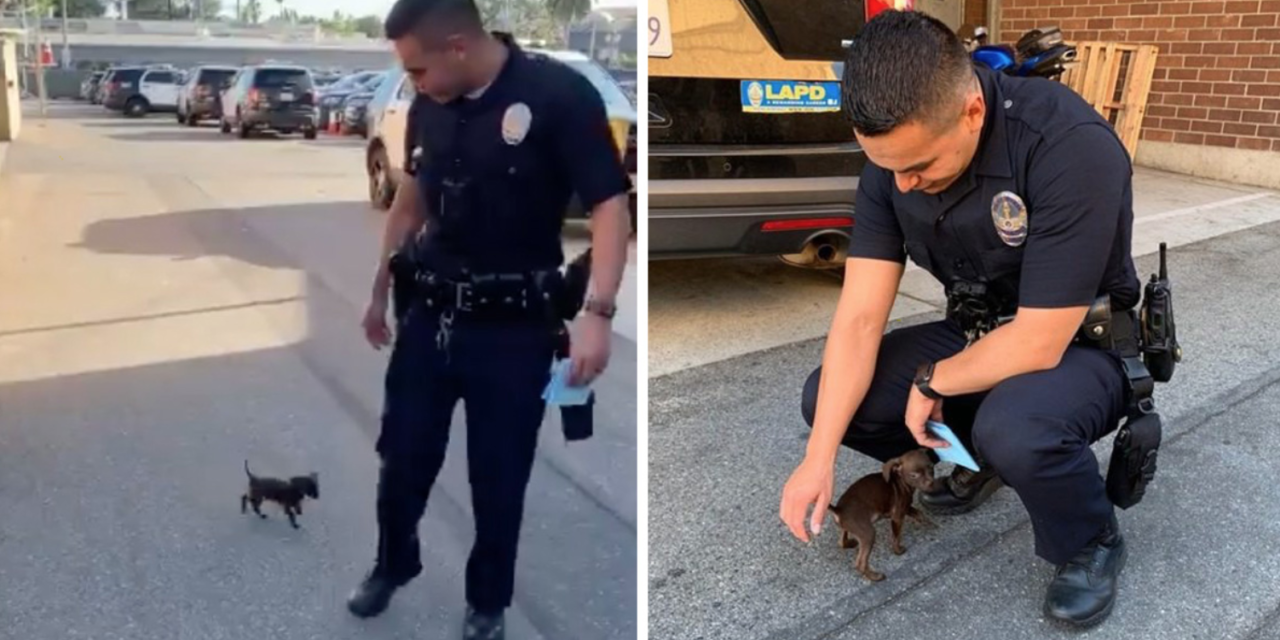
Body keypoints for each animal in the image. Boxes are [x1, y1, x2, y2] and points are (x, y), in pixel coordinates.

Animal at [824, 450, 936, 581]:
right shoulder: (897, 516)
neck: (900, 481)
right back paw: (875, 576)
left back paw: (850, 543)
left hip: (847, 527)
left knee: (842, 541)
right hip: (868, 533)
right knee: (860, 563)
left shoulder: (906, 508)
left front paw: (930, 524)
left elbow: (919, 513)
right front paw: (898, 551)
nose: (931, 483)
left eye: (931, 468)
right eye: (914, 475)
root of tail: (839, 510)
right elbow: (896, 537)